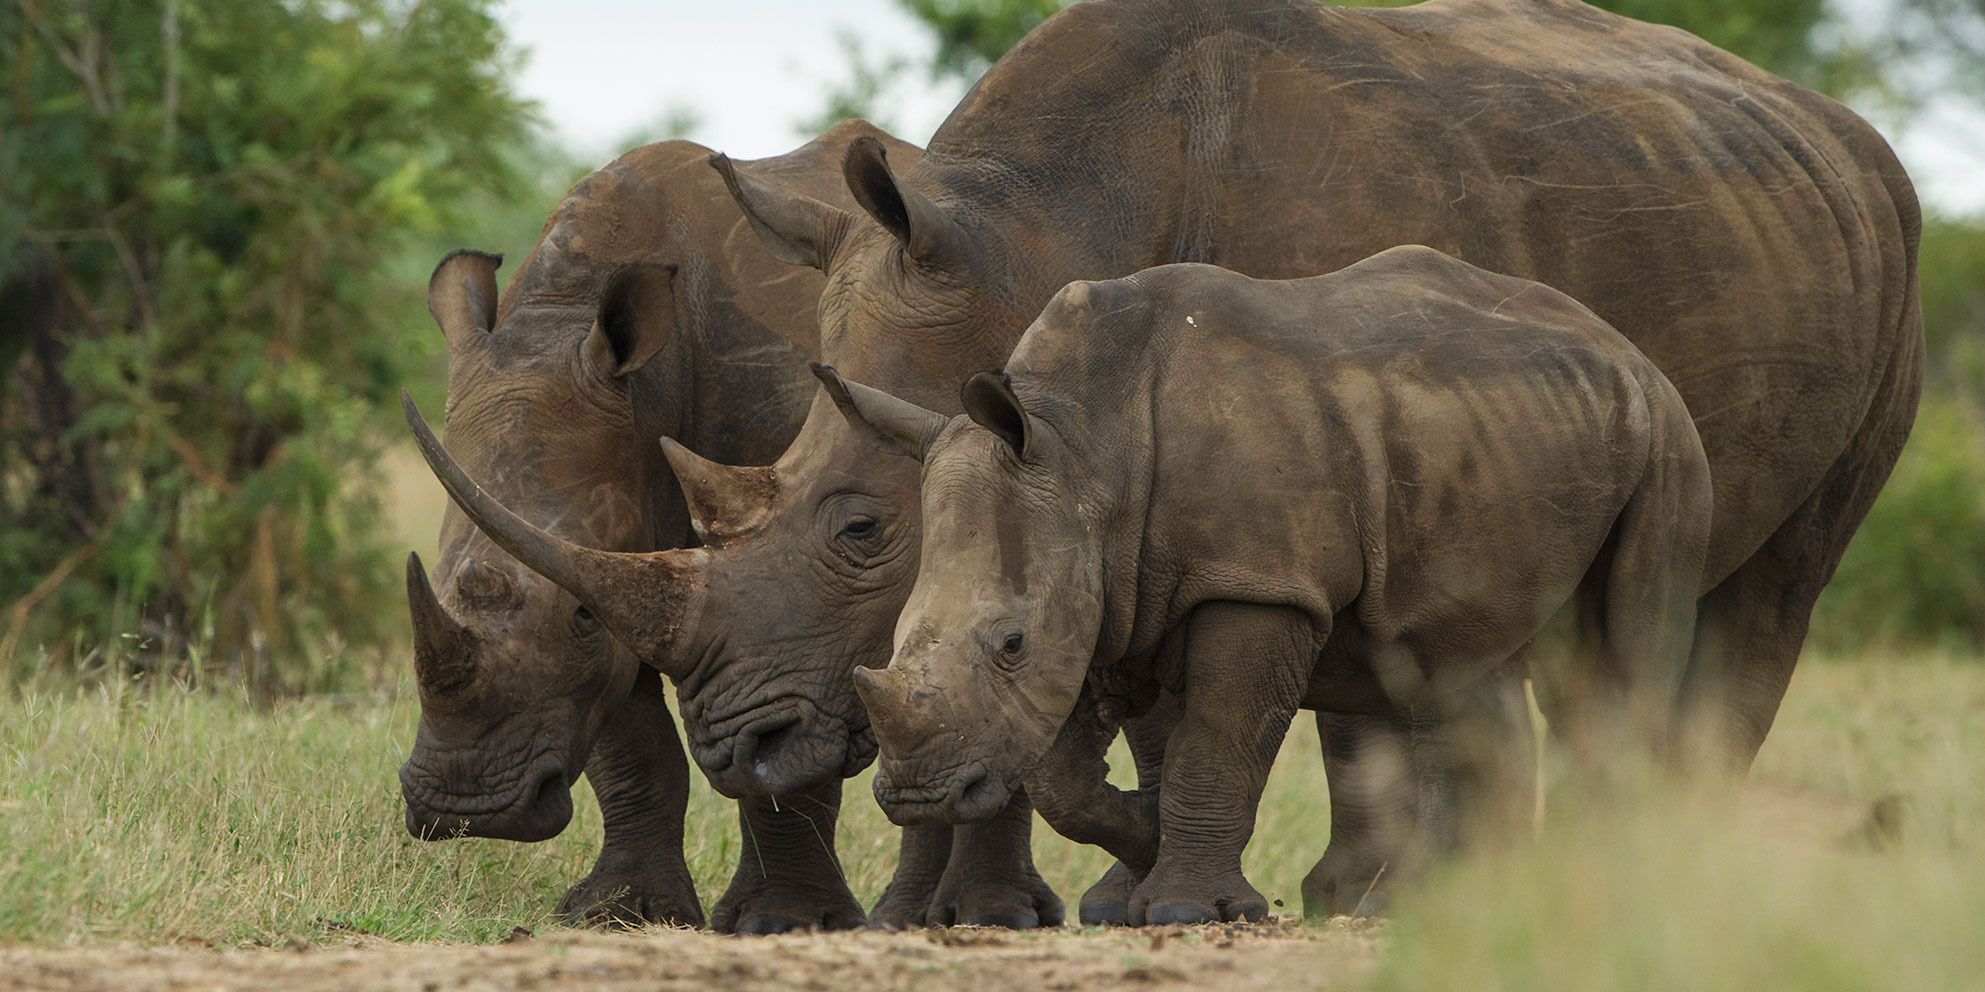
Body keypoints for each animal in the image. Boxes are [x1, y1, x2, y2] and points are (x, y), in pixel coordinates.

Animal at [399, 120, 922, 932]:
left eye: (579, 616)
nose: (467, 812)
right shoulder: (617, 558)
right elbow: (633, 743)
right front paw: (621, 913)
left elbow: (785, 730)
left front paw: (784, 923)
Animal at [822, 248, 1714, 923]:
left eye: (1010, 641)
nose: (916, 796)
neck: (1083, 448)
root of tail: (1624, 348)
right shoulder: (1114, 591)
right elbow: (1064, 777)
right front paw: (1142, 845)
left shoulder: (1256, 581)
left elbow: (1217, 738)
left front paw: (1184, 910)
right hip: (1514, 440)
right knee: (1466, 662)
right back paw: (1443, 903)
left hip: (1667, 440)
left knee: (1621, 651)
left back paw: (1614, 885)